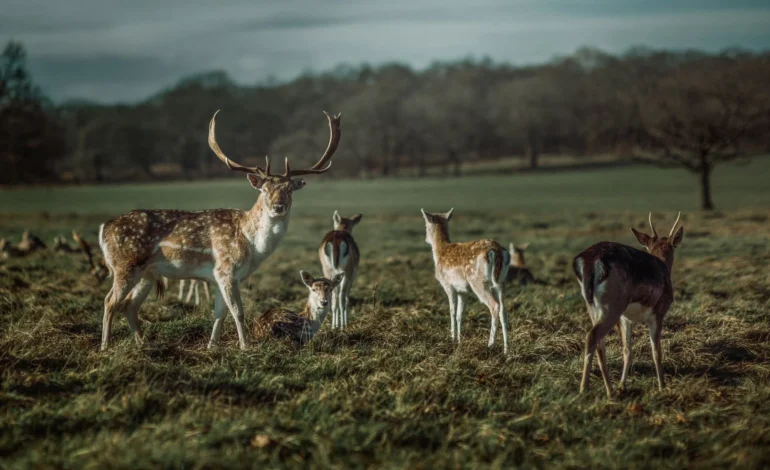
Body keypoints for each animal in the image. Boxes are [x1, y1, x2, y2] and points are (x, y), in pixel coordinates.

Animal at [98, 110, 341, 351]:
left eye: (290, 189)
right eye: (264, 189)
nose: (278, 206)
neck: (251, 244)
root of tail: (103, 228)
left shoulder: (218, 276)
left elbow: (220, 314)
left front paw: (211, 347)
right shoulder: (226, 269)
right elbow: (238, 312)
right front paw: (245, 347)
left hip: (147, 273)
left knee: (129, 305)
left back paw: (142, 344)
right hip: (125, 265)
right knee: (109, 301)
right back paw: (105, 346)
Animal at [421, 208, 511, 353]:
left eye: (425, 225)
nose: (426, 239)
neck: (440, 252)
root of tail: (497, 251)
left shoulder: (448, 285)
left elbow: (452, 312)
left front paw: (452, 339)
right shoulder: (463, 291)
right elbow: (460, 314)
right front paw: (459, 340)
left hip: (478, 281)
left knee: (494, 306)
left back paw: (490, 345)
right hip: (502, 281)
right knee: (503, 309)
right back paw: (506, 349)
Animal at [573, 212, 684, 399]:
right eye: (673, 248)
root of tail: (590, 261)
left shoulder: (626, 319)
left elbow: (627, 351)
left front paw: (622, 386)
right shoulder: (658, 312)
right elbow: (656, 351)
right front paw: (662, 386)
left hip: (593, 306)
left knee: (600, 344)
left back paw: (610, 390)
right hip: (613, 305)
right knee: (592, 336)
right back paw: (584, 389)